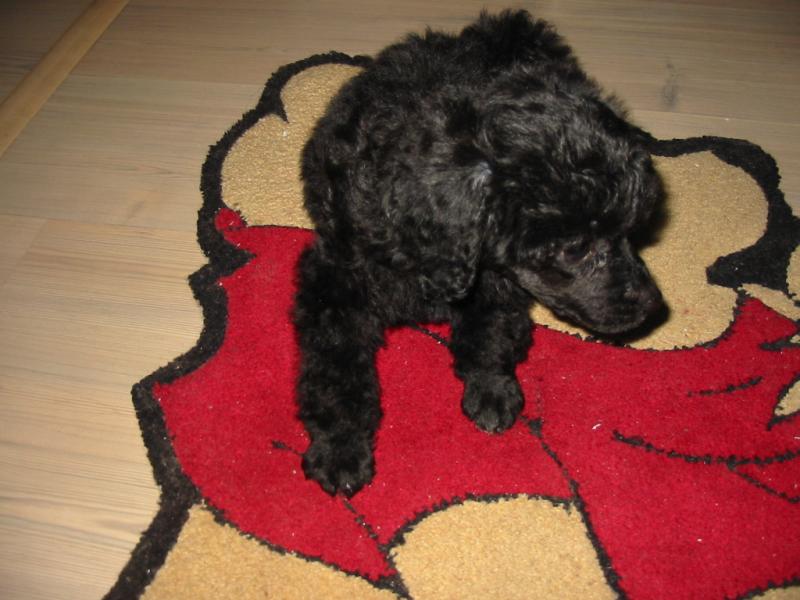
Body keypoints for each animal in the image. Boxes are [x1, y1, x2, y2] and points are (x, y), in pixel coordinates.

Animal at [293, 10, 665, 496]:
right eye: (575, 249)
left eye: (632, 232)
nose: (651, 304)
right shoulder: (335, 278)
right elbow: (336, 367)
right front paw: (339, 447)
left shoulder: (496, 279)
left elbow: (489, 331)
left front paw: (490, 388)